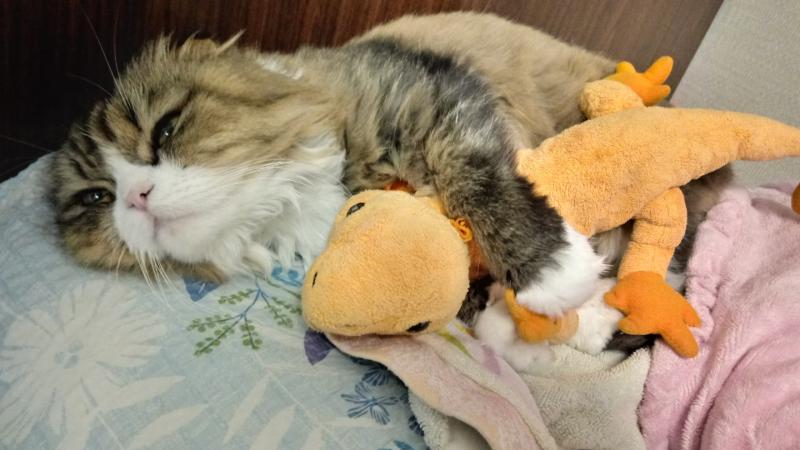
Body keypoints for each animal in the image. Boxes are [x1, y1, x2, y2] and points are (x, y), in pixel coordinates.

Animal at [49, 12, 730, 320]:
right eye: (96, 199)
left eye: (165, 129)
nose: (135, 197)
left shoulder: (441, 100)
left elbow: (476, 179)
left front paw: (551, 273)